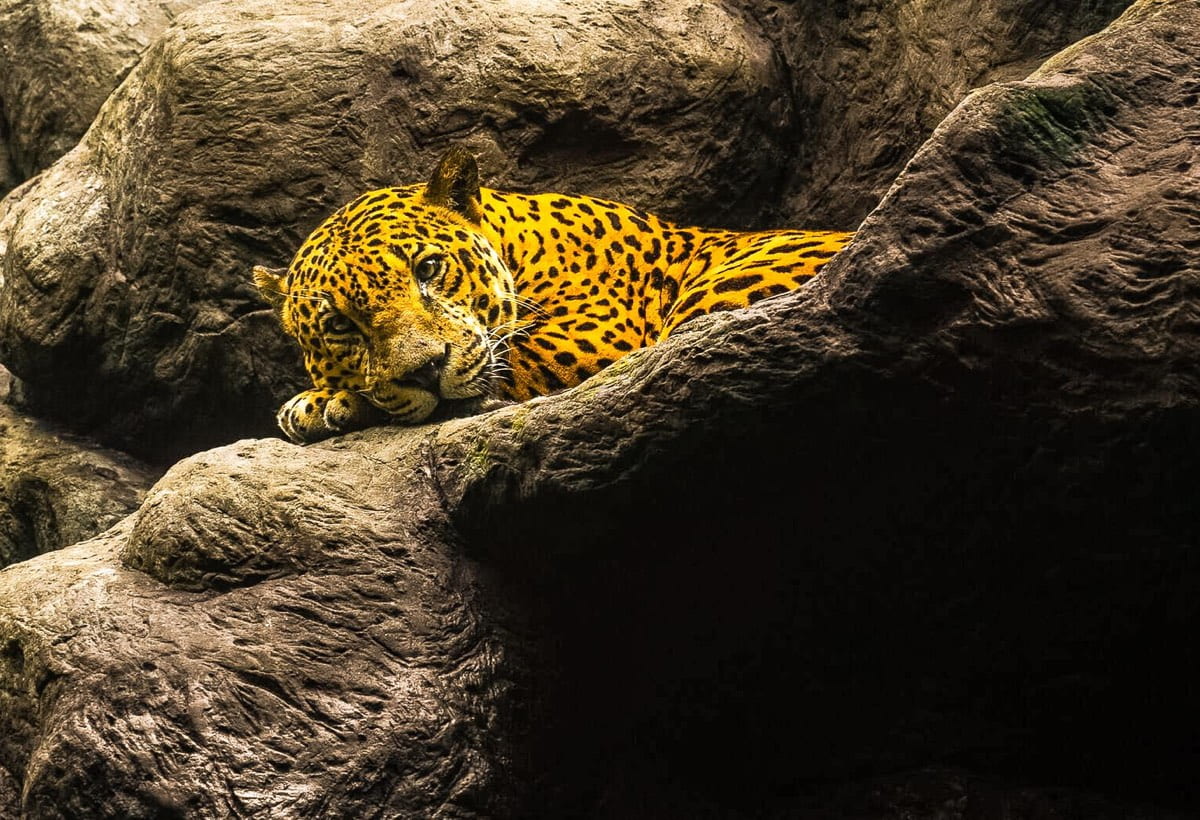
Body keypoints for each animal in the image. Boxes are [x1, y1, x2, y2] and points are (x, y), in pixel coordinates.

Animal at [254, 146, 852, 443]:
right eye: (339, 325)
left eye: (428, 268)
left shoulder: (591, 339)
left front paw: (320, 403)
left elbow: (502, 365)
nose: (425, 371)